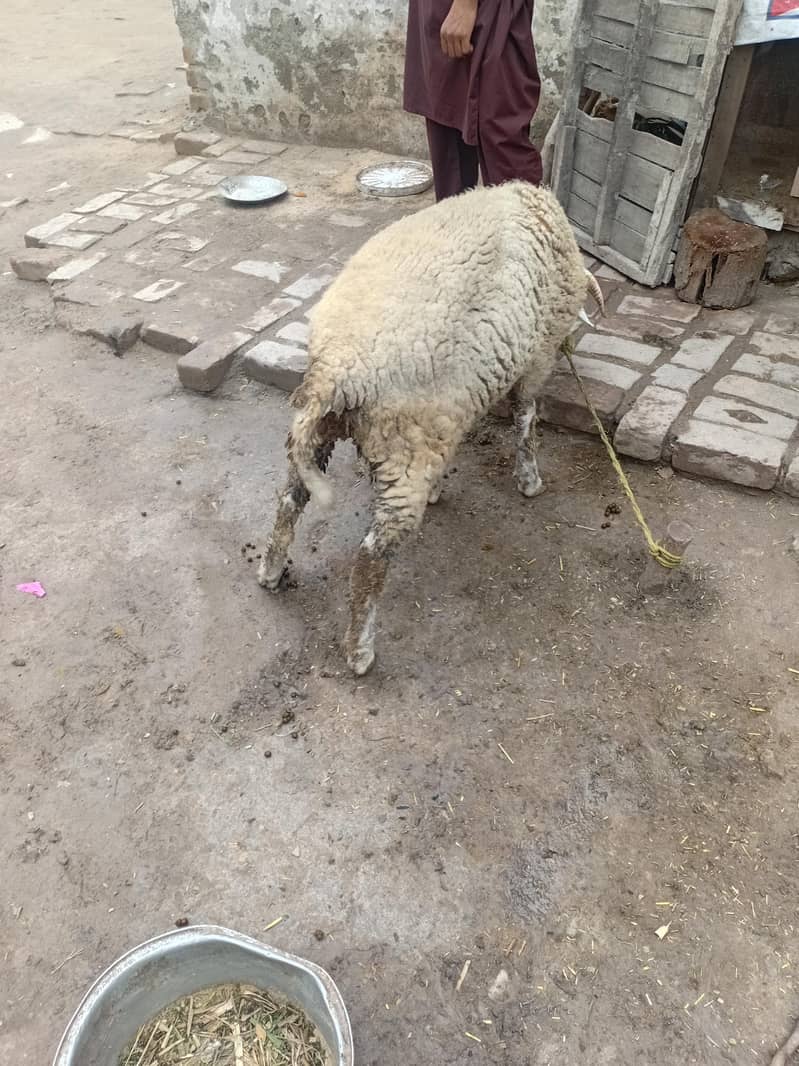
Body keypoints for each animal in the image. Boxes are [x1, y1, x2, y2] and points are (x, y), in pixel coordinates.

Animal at [258, 180, 603, 676]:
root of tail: (335, 371)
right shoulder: (536, 359)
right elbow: (525, 418)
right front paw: (529, 480)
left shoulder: (446, 414)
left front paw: (444, 488)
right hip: (402, 451)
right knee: (371, 556)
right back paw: (359, 651)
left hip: (332, 432)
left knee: (290, 499)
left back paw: (270, 571)